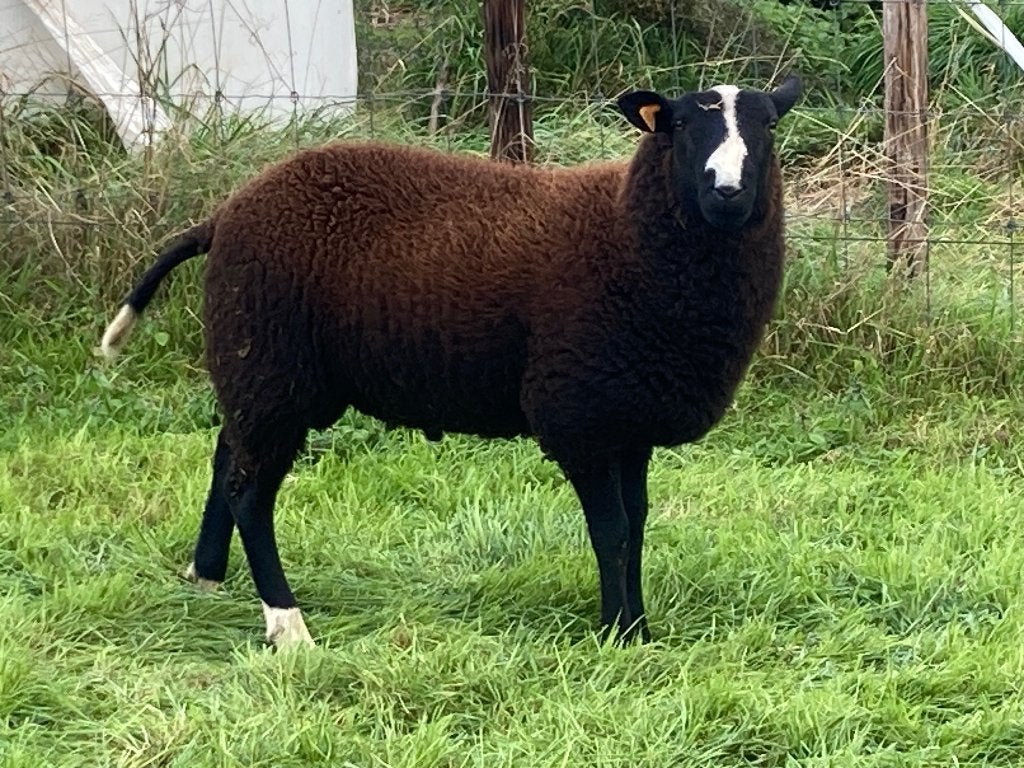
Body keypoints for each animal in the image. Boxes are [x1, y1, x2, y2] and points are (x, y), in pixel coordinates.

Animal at [100, 75, 802, 647]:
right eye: (680, 126)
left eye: (768, 125)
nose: (728, 191)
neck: (626, 232)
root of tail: (224, 213)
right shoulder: (578, 412)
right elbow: (613, 531)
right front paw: (619, 635)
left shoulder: (628, 418)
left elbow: (638, 526)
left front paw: (641, 628)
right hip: (270, 360)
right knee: (251, 490)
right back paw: (288, 625)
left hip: (263, 369)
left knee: (228, 456)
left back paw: (207, 576)